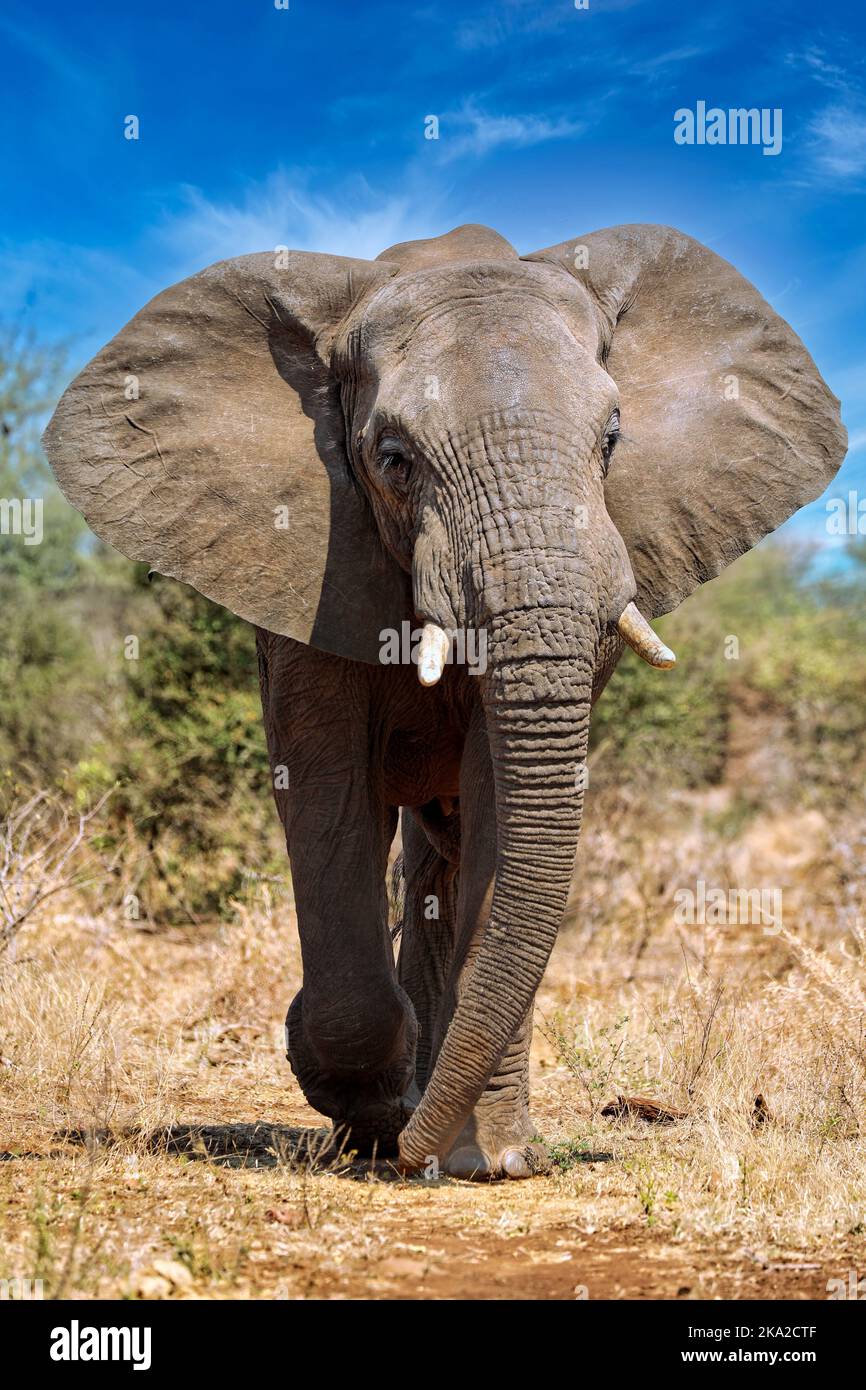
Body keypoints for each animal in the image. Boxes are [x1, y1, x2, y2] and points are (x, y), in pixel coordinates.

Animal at [42, 222, 845, 1178]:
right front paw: (369, 1110)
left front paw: (484, 1157)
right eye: (393, 460)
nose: (409, 1146)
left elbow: (501, 798)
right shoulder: (310, 558)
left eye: (612, 442)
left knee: (446, 856)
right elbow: (325, 784)